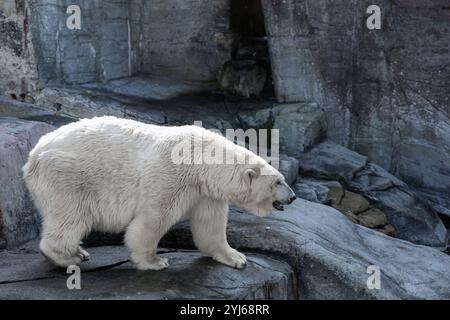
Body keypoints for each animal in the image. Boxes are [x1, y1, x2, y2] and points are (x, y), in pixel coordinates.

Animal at [22, 116, 296, 268]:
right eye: (278, 182)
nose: (292, 197)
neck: (202, 160)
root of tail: (33, 156)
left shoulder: (205, 192)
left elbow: (211, 225)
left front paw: (235, 257)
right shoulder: (171, 176)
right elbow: (154, 218)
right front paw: (155, 261)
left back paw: (78, 251)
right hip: (68, 176)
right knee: (71, 216)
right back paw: (66, 257)